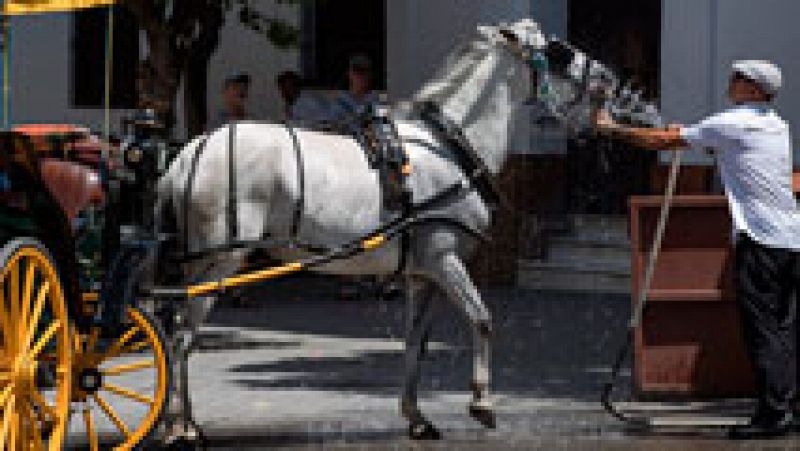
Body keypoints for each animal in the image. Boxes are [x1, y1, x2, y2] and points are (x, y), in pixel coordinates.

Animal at [155, 19, 564, 444]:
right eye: (555, 51)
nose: (588, 69)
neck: (447, 146)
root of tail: (186, 155)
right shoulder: (443, 259)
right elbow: (480, 319)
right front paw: (482, 403)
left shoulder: (422, 272)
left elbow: (416, 340)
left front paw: (416, 416)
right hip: (218, 261)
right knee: (181, 335)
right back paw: (181, 426)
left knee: (177, 333)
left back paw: (182, 421)